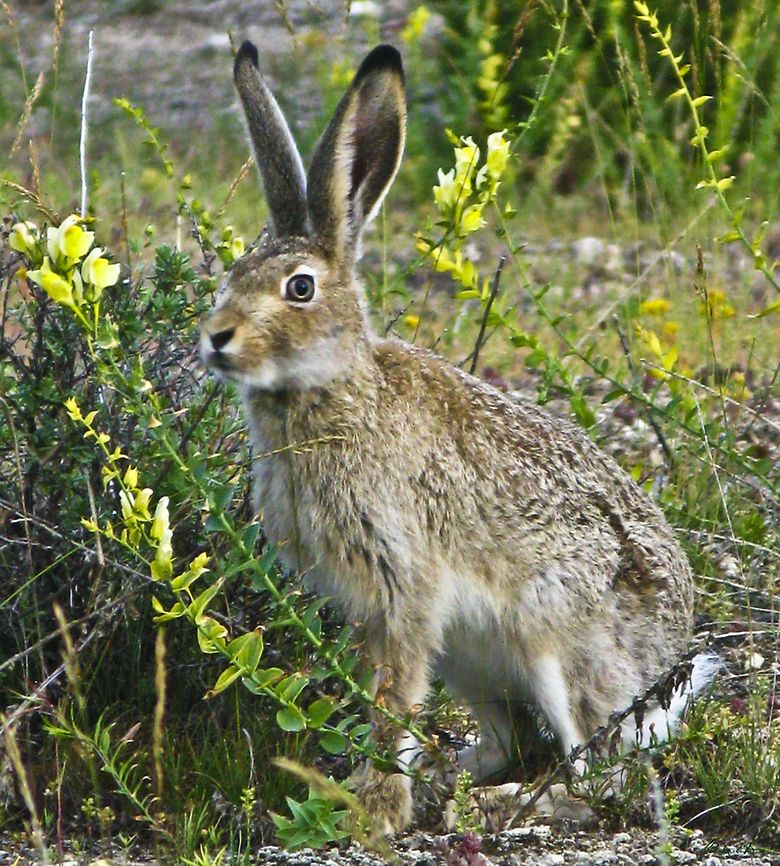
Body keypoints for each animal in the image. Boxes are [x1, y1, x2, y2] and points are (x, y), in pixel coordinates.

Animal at [201, 40, 712, 835]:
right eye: (232, 275)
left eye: (300, 288)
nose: (216, 338)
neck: (331, 391)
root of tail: (662, 665)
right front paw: (361, 795)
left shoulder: (404, 582)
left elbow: (391, 702)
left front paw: (374, 812)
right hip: (471, 659)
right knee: (512, 741)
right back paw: (452, 786)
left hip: (557, 646)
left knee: (604, 776)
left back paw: (506, 805)